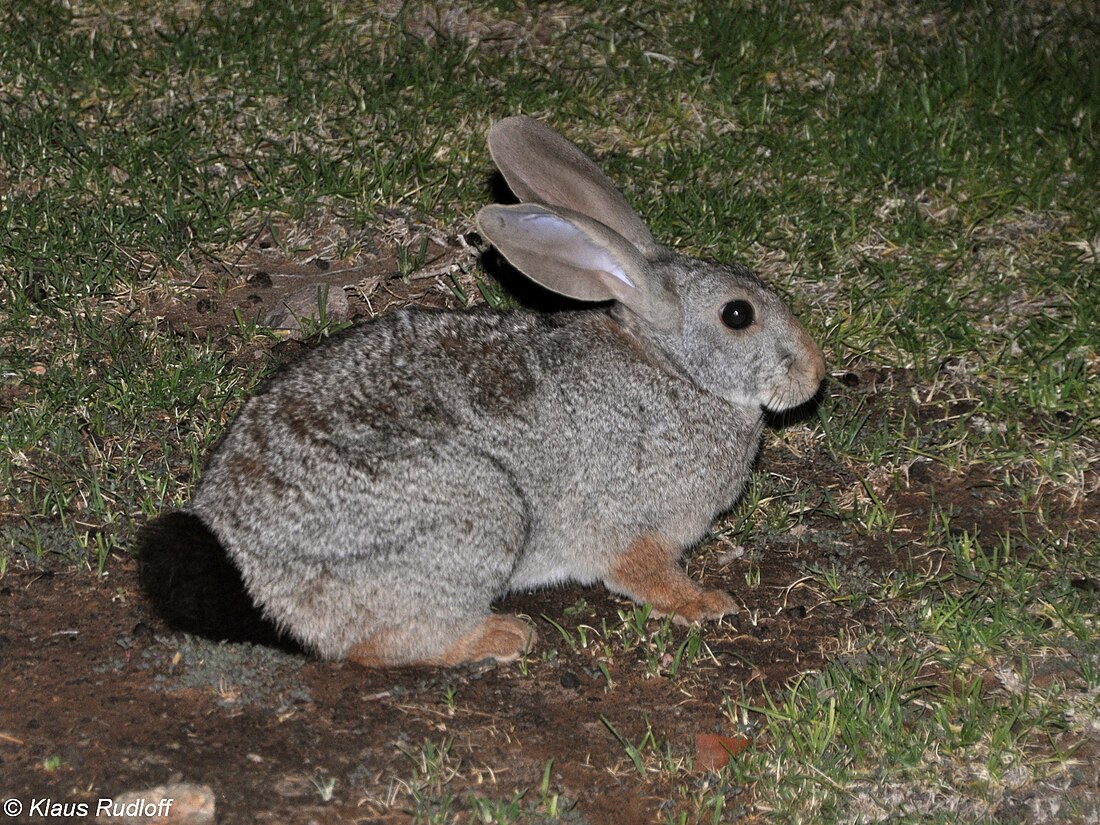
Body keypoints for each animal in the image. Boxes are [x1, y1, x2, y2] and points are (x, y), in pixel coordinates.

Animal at [167, 116, 827, 668]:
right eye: (737, 315)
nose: (816, 375)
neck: (677, 371)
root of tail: (252, 567)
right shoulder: (632, 523)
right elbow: (642, 573)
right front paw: (704, 602)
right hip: (482, 511)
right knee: (379, 644)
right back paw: (500, 636)